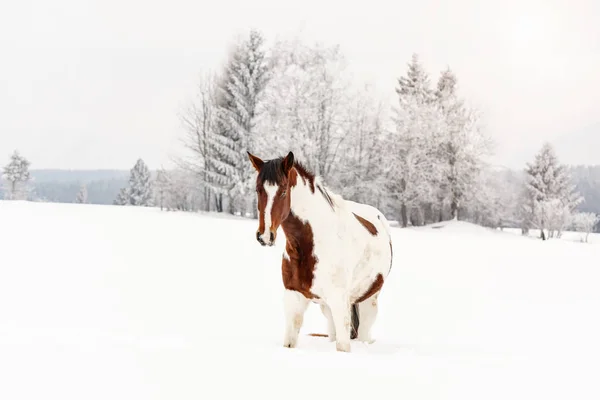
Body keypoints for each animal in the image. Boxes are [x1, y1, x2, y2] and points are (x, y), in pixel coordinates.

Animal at [247, 151, 394, 354]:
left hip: (368, 301)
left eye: (283, 191)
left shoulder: (339, 302)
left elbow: (343, 347)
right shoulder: (293, 297)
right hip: (327, 308)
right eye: (258, 190)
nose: (265, 236)